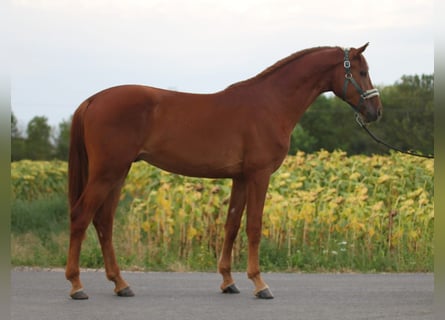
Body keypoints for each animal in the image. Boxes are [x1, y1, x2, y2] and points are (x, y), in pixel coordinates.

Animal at [65, 43, 382, 300]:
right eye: (362, 71)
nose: (376, 112)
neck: (271, 103)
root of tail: (93, 100)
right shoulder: (259, 176)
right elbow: (254, 227)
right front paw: (260, 284)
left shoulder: (240, 178)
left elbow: (231, 226)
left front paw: (229, 281)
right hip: (107, 173)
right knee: (81, 216)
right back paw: (77, 286)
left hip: (118, 174)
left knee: (104, 222)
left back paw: (121, 284)